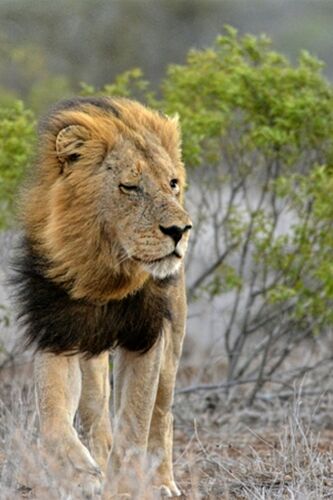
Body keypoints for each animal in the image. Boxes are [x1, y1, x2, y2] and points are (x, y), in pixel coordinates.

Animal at [13, 96, 192, 496]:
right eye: (130, 186)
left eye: (172, 183)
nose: (180, 230)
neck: (103, 272)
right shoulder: (57, 333)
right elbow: (53, 421)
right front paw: (79, 473)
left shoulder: (146, 337)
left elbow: (135, 424)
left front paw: (124, 488)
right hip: (91, 354)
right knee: (95, 412)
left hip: (173, 343)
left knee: (163, 415)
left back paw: (163, 483)